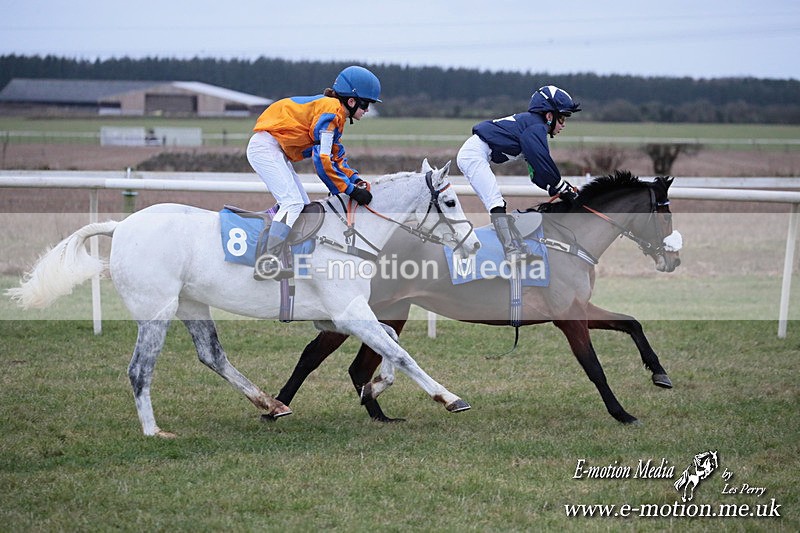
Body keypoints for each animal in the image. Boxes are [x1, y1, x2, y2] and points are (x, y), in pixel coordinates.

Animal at [7, 161, 481, 438]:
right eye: (450, 200)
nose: (474, 244)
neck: (347, 235)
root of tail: (120, 226)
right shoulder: (348, 314)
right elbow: (401, 353)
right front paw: (449, 397)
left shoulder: (338, 317)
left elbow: (391, 341)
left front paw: (375, 385)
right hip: (156, 311)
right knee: (139, 369)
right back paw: (154, 431)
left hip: (192, 304)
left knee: (212, 355)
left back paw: (270, 404)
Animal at [268, 171, 682, 425]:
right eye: (666, 216)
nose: (673, 259)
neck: (568, 239)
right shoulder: (569, 317)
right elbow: (594, 367)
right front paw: (622, 413)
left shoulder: (580, 308)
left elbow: (631, 322)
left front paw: (659, 373)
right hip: (360, 308)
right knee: (313, 356)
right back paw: (276, 405)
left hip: (390, 311)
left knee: (360, 367)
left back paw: (378, 414)